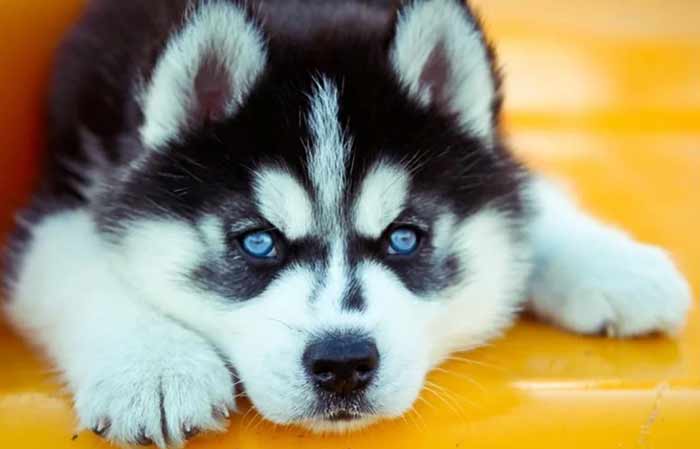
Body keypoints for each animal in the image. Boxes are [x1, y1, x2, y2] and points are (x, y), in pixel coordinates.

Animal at [2, 0, 692, 446]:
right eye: (259, 242)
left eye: (404, 238)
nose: (343, 363)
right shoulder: (57, 201)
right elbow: (81, 266)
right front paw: (155, 366)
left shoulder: (495, 159)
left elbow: (527, 193)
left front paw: (612, 263)